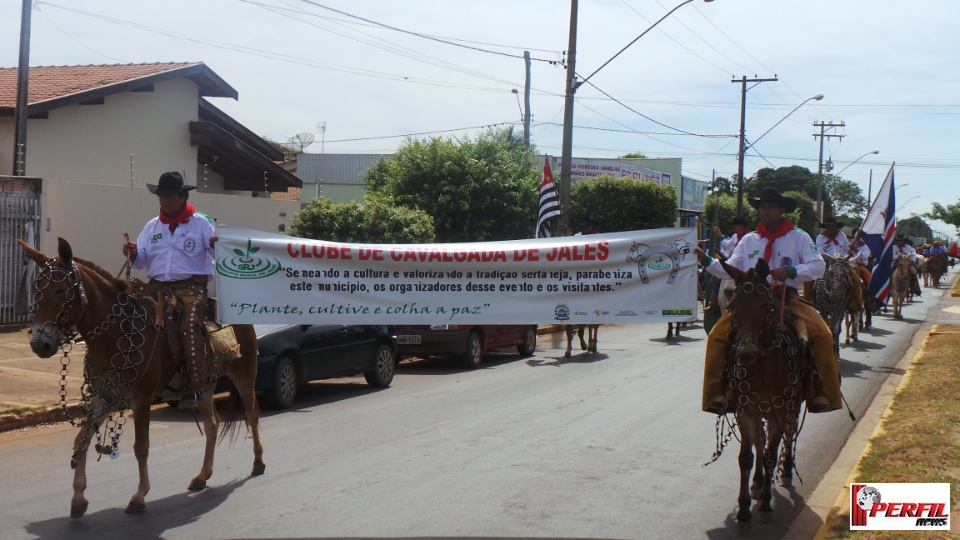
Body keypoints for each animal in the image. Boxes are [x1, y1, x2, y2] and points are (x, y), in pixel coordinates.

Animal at [18, 238, 266, 516]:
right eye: (36, 290)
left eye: (61, 290)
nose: (40, 343)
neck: (113, 334)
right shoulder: (104, 397)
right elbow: (82, 439)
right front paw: (78, 497)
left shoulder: (141, 398)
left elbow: (141, 446)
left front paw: (139, 496)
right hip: (205, 385)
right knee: (212, 423)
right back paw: (202, 476)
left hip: (244, 374)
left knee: (251, 414)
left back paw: (258, 462)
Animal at [708, 258, 808, 524]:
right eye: (733, 305)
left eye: (766, 305)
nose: (745, 353)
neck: (764, 366)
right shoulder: (747, 410)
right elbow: (747, 457)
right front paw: (744, 507)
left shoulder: (780, 410)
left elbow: (772, 452)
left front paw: (765, 500)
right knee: (760, 442)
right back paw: (757, 482)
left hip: (792, 407)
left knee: (789, 434)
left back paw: (785, 472)